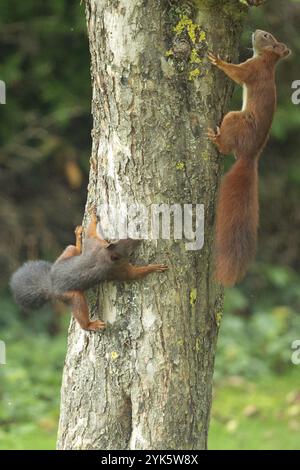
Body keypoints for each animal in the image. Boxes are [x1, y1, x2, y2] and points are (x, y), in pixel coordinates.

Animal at [9, 209, 169, 330]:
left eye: (125, 237)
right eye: (128, 252)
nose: (140, 239)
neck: (103, 254)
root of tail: (50, 284)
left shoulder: (95, 243)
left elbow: (91, 233)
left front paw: (93, 216)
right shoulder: (116, 270)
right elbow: (134, 275)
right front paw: (154, 267)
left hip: (66, 255)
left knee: (73, 248)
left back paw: (78, 239)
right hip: (71, 295)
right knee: (80, 312)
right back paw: (90, 325)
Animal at [207, 30, 290, 286]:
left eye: (266, 36)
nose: (255, 31)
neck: (267, 61)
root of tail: (250, 156)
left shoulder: (251, 70)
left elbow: (236, 74)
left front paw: (218, 61)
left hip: (235, 119)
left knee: (226, 148)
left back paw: (217, 140)